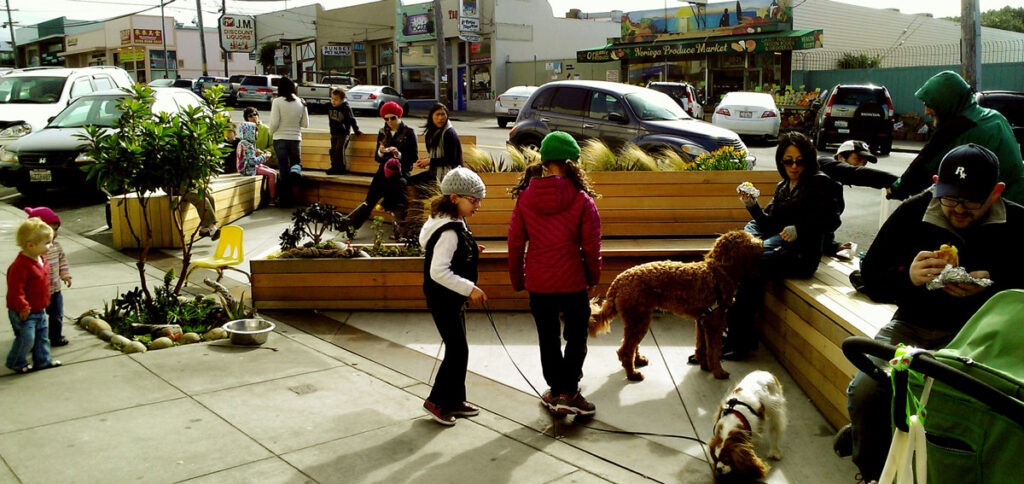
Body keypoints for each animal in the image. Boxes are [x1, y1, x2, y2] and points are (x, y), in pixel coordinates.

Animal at [589, 230, 765, 380]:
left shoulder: (702, 321)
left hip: (637, 319)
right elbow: (714, 350)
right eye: (749, 242)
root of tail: (617, 282)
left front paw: (704, 365)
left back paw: (637, 361)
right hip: (639, 319)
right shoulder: (715, 322)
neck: (717, 272)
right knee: (625, 351)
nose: (761, 242)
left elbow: (701, 346)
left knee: (631, 346)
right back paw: (633, 374)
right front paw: (719, 372)